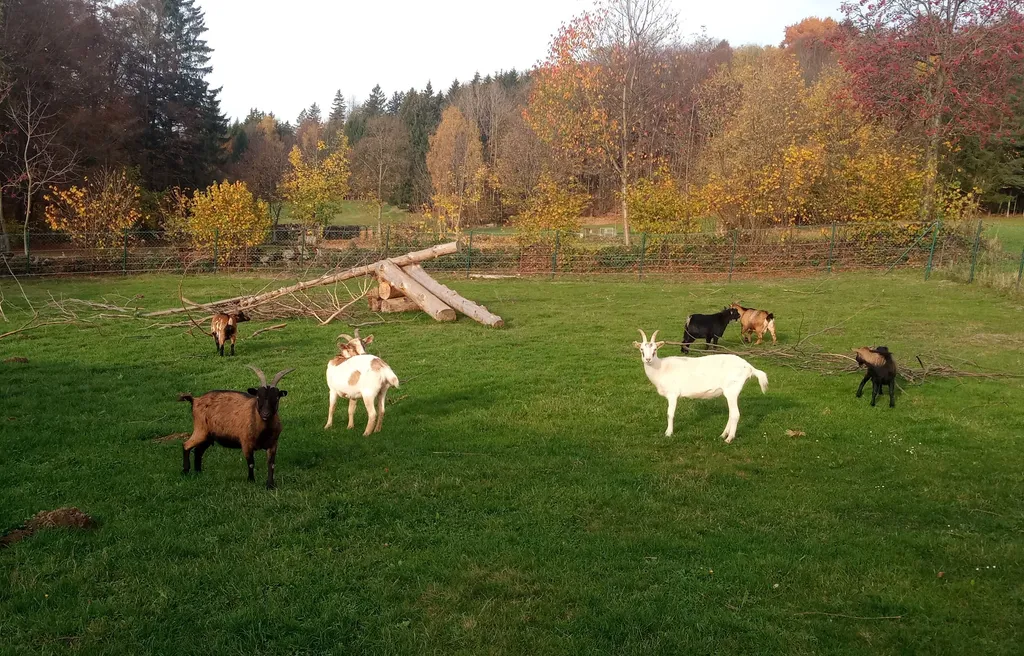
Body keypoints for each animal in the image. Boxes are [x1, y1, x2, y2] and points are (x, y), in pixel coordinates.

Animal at [636, 329, 768, 442]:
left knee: (735, 414)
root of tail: (749, 367)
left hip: (732, 390)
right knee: (731, 414)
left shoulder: (672, 394)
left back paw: (729, 438)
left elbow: (670, 414)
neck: (661, 368)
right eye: (641, 349)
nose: (648, 359)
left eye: (655, 350)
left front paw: (668, 433)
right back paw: (723, 434)